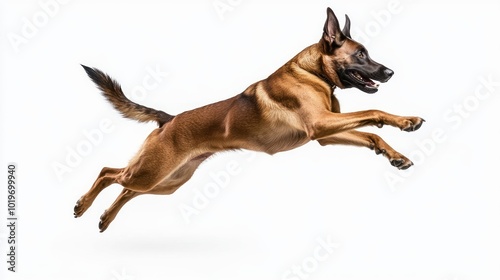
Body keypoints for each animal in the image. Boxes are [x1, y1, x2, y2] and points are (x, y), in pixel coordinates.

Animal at [75, 8, 426, 232]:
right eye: (361, 54)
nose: (390, 72)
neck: (313, 73)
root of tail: (169, 119)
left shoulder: (326, 133)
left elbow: (371, 134)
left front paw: (394, 153)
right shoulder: (321, 123)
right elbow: (374, 112)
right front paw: (405, 120)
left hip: (167, 182)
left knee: (126, 189)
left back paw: (105, 218)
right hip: (153, 173)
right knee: (108, 173)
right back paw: (83, 205)